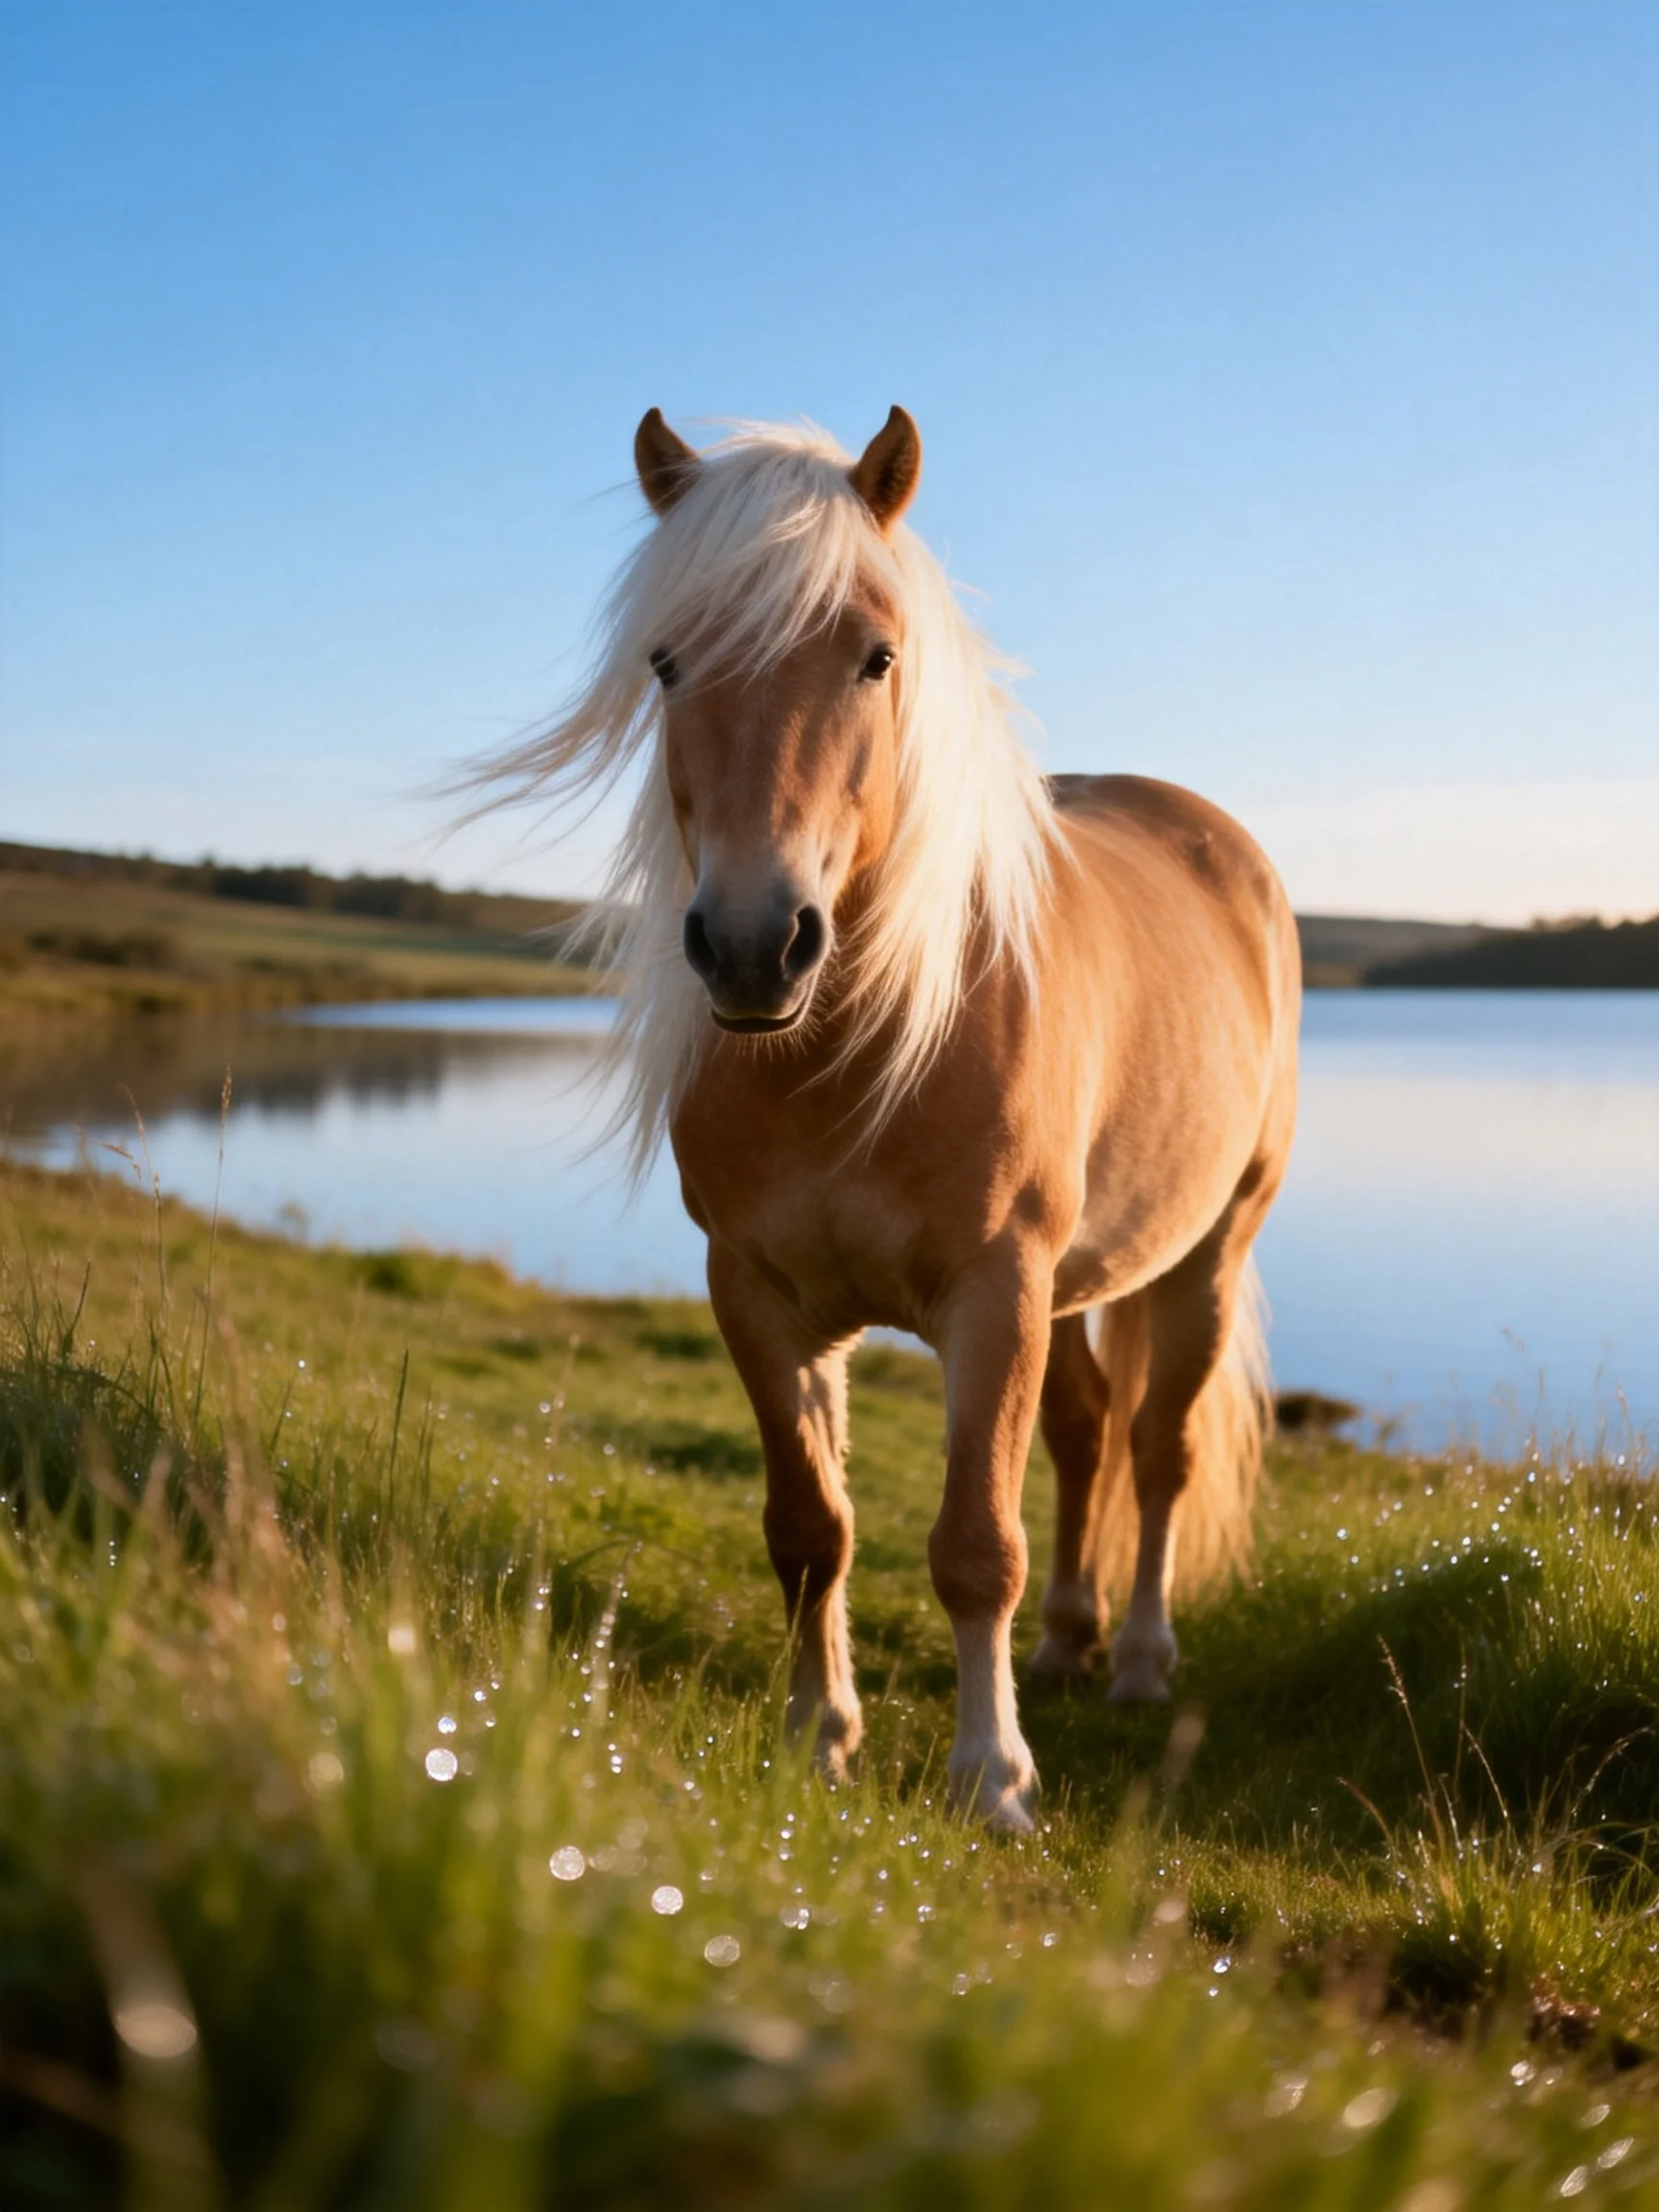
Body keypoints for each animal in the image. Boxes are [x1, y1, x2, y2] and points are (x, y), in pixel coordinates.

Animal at [475, 407, 1300, 1832]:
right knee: (1086, 1433)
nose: (755, 946)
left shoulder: (993, 1292)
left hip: (1204, 1252)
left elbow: (976, 1547)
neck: (853, 1057)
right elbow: (811, 1530)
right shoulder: (761, 1293)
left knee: (1160, 1448)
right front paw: (820, 1736)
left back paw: (1138, 1664)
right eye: (666, 662)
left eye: (876, 656)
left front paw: (993, 1779)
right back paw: (1069, 1644)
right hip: (1075, 1287)